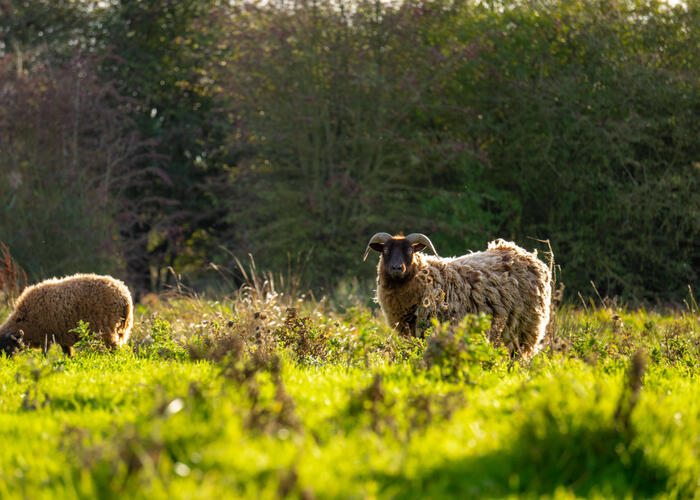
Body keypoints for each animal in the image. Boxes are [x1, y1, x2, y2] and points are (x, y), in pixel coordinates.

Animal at [0, 273, 133, 356]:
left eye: (4, 345)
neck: (24, 319)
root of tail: (124, 296)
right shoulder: (62, 336)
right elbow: (68, 353)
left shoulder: (46, 336)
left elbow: (45, 354)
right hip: (120, 330)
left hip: (106, 330)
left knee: (113, 350)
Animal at [364, 233, 552, 360]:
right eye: (385, 250)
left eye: (410, 251)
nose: (396, 268)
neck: (427, 277)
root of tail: (524, 253)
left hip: (526, 330)